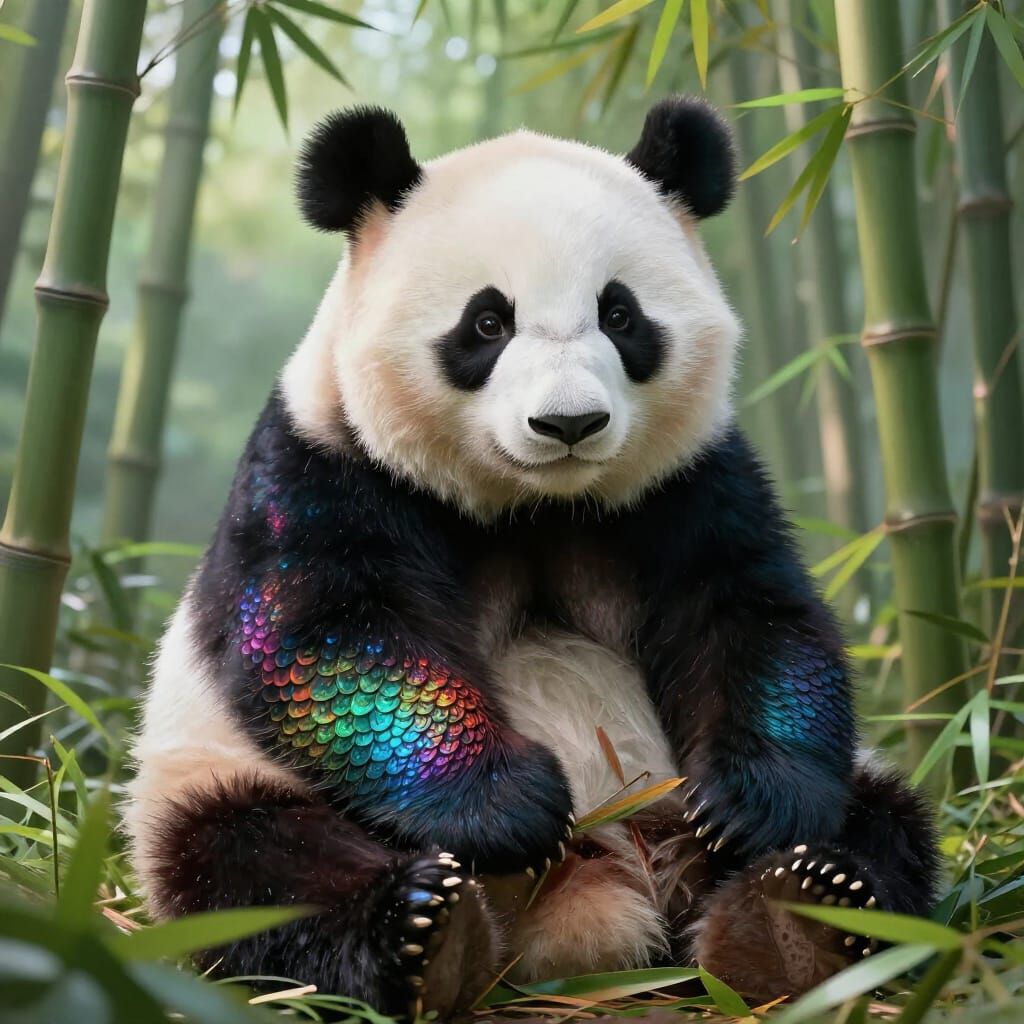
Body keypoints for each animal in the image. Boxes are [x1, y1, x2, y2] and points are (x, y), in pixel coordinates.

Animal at [124, 97, 938, 1018]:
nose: (569, 423)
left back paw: (799, 915)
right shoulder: (320, 466)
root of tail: (597, 901)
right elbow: (327, 639)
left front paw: (747, 807)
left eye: (620, 315)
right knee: (252, 868)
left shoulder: (690, 480)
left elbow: (753, 613)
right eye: (487, 322)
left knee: (886, 824)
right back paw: (426, 932)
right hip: (205, 780)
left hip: (817, 785)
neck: (535, 502)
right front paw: (508, 807)